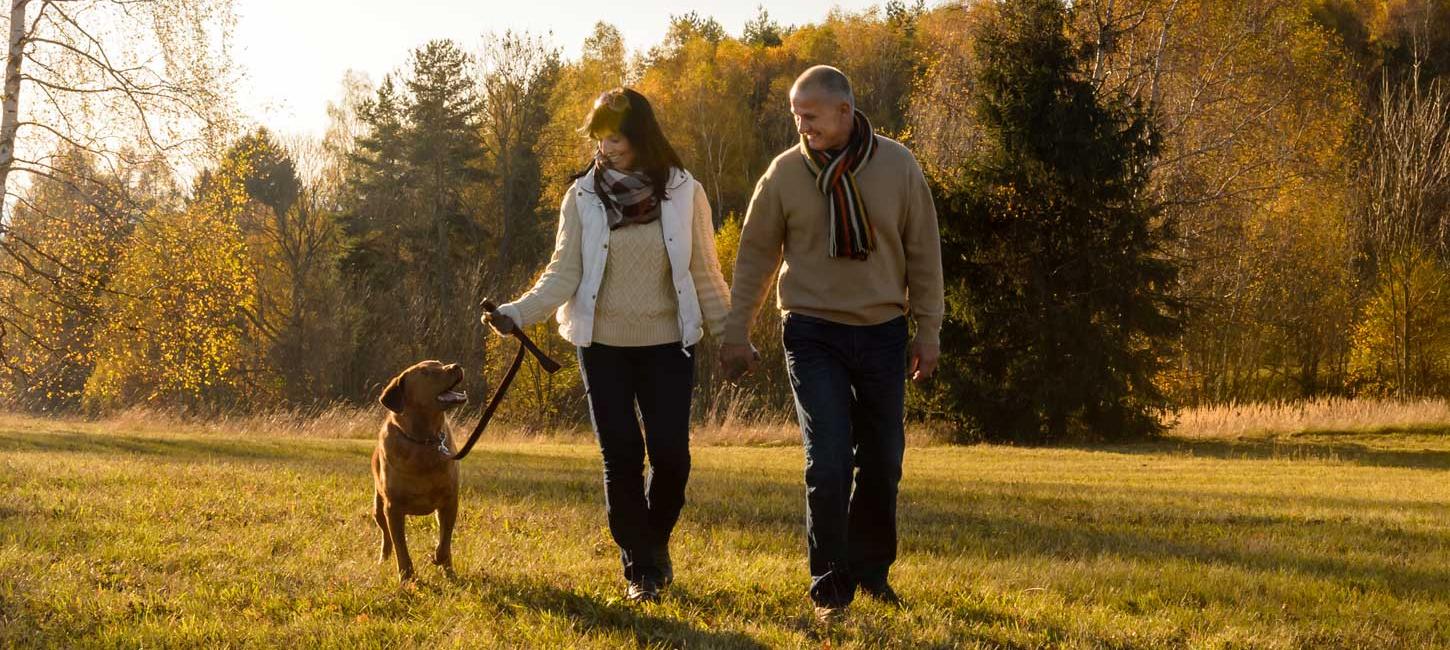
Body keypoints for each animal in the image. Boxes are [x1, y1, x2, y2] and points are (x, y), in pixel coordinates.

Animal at [371, 362, 466, 580]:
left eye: (440, 363)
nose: (456, 366)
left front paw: (439, 559)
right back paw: (383, 559)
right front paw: (407, 577)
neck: (424, 440)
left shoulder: (449, 500)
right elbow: (400, 546)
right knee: (386, 536)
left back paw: (449, 571)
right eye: (426, 372)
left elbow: (445, 540)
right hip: (378, 508)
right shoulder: (393, 507)